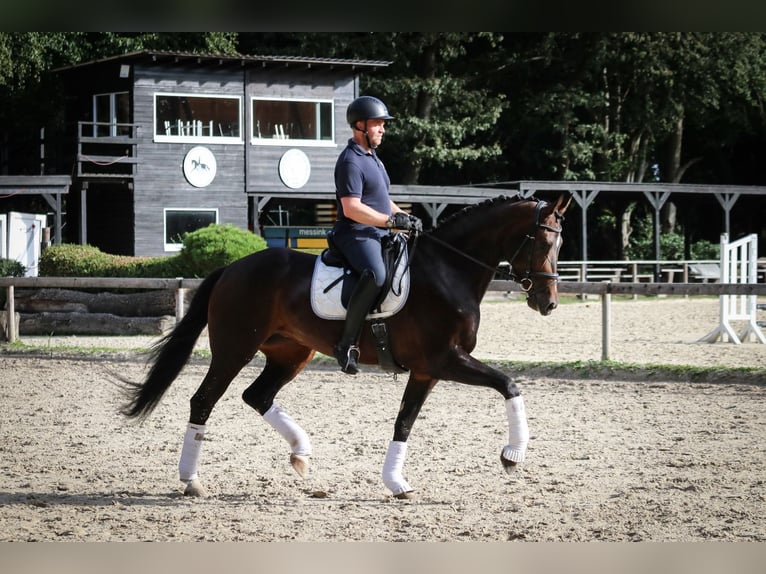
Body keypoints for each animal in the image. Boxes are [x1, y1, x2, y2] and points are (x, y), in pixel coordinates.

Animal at [120, 194, 572, 500]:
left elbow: (404, 422)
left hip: (291, 353)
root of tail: (232, 267)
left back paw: (301, 453)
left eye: (560, 245)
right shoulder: (445, 359)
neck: (448, 271)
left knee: (257, 395)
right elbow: (509, 384)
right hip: (234, 349)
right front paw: (512, 454)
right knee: (204, 400)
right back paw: (191, 480)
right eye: (541, 242)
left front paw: (396, 482)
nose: (548, 302)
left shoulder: (427, 370)